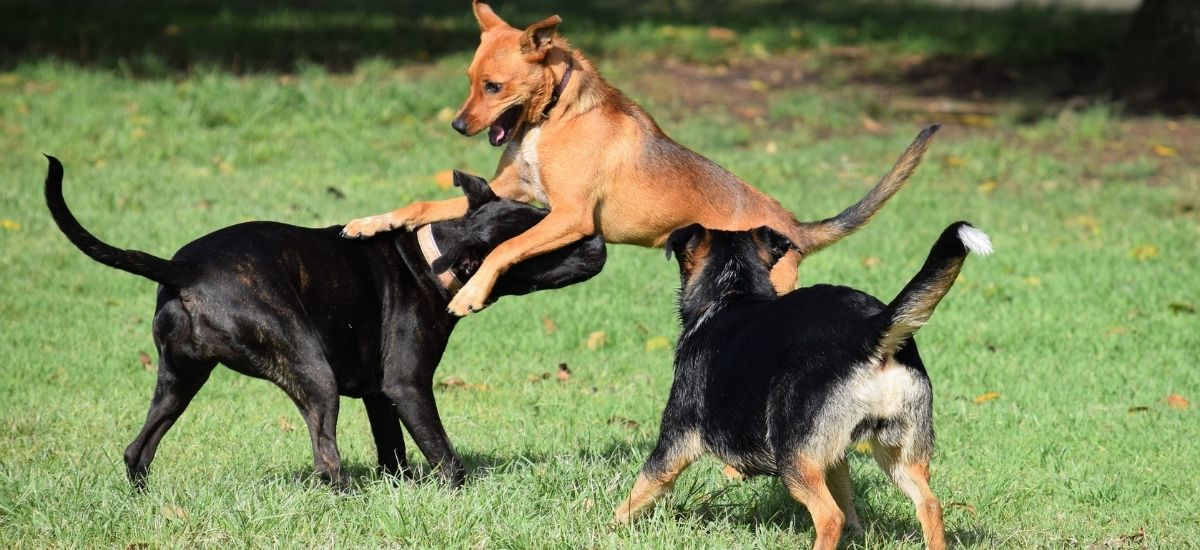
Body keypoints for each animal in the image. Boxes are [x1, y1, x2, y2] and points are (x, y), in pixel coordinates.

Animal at [42, 157, 604, 487]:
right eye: (546, 244)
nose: (598, 238)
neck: (430, 256)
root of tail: (184, 269)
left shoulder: (380, 395)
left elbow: (394, 452)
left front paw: (399, 488)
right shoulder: (407, 386)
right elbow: (443, 454)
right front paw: (456, 491)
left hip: (178, 381)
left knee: (137, 449)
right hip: (312, 373)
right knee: (325, 459)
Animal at [338, 1, 936, 317]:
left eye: (493, 86)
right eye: (468, 81)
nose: (458, 126)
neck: (553, 116)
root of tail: (792, 226)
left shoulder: (569, 216)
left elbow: (504, 248)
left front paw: (471, 294)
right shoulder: (510, 192)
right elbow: (421, 205)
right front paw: (371, 222)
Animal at [614, 220, 988, 547]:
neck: (732, 293)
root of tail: (870, 329)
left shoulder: (674, 441)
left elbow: (640, 489)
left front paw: (611, 527)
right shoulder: (832, 454)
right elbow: (847, 494)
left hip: (792, 456)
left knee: (829, 517)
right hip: (899, 453)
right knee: (929, 505)